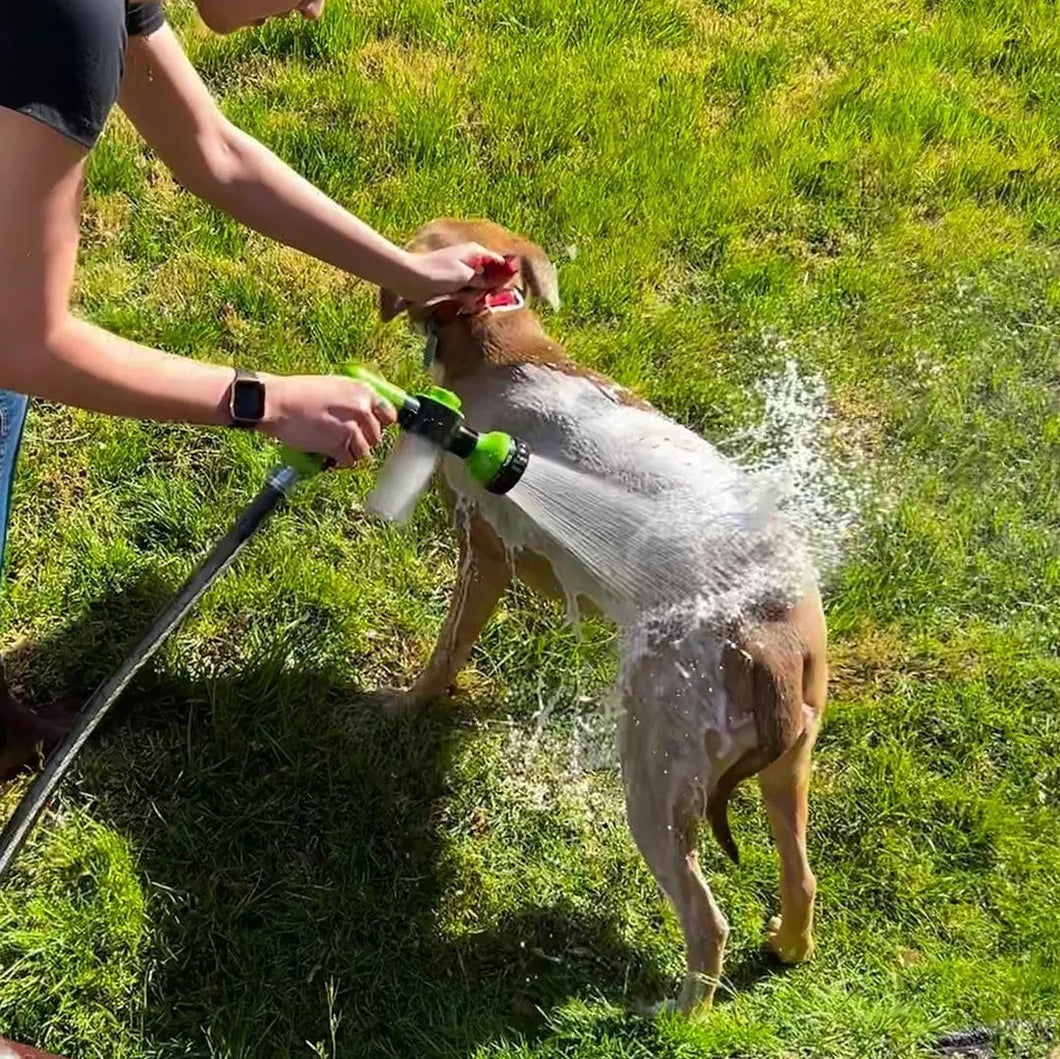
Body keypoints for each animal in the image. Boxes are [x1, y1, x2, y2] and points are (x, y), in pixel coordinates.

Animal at [377, 217, 831, 1017]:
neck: (505, 346)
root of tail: (771, 647)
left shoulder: (483, 554)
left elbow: (445, 653)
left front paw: (405, 704)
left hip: (655, 777)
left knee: (706, 919)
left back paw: (677, 1016)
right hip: (790, 765)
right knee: (801, 876)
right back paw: (785, 945)